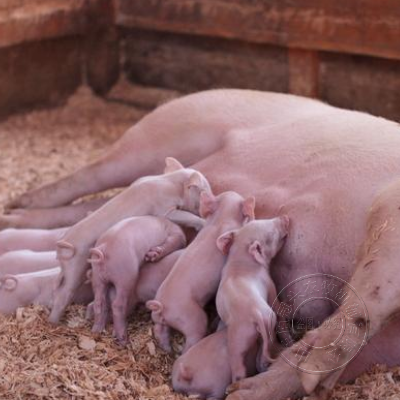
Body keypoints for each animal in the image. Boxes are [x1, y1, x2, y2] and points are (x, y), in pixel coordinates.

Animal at [49, 158, 209, 324]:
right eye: (203, 190)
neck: (170, 183)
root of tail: (63, 244)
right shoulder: (164, 209)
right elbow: (181, 216)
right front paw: (203, 223)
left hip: (69, 269)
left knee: (57, 285)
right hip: (76, 266)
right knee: (65, 292)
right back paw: (54, 322)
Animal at [89, 216, 186, 344]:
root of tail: (103, 249)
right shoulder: (175, 235)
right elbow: (171, 243)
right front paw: (151, 255)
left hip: (97, 276)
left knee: (99, 301)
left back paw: (96, 330)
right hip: (126, 275)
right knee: (117, 304)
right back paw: (123, 339)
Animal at [146, 192, 253, 352]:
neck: (221, 217)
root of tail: (163, 306)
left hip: (158, 318)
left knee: (160, 330)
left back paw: (168, 349)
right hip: (193, 319)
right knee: (192, 338)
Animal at [216, 216, 288, 382]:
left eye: (264, 219)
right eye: (271, 234)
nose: (285, 217)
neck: (241, 262)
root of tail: (256, 312)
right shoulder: (269, 283)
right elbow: (276, 302)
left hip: (260, 329)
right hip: (240, 337)